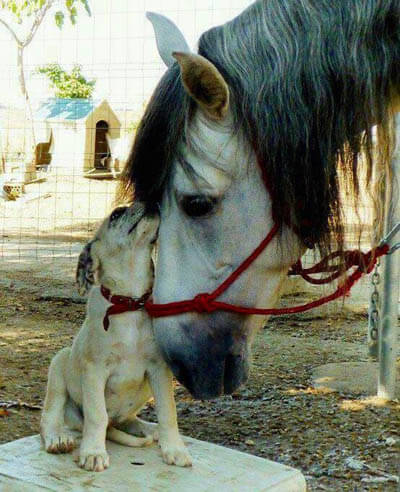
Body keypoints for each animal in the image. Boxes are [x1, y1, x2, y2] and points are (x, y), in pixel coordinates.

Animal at [40, 202, 192, 470]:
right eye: (117, 214)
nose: (150, 200)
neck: (130, 301)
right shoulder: (94, 369)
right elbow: (97, 414)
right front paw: (93, 452)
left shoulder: (159, 368)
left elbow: (168, 411)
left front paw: (174, 448)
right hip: (60, 363)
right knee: (51, 416)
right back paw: (58, 438)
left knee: (127, 419)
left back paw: (148, 429)